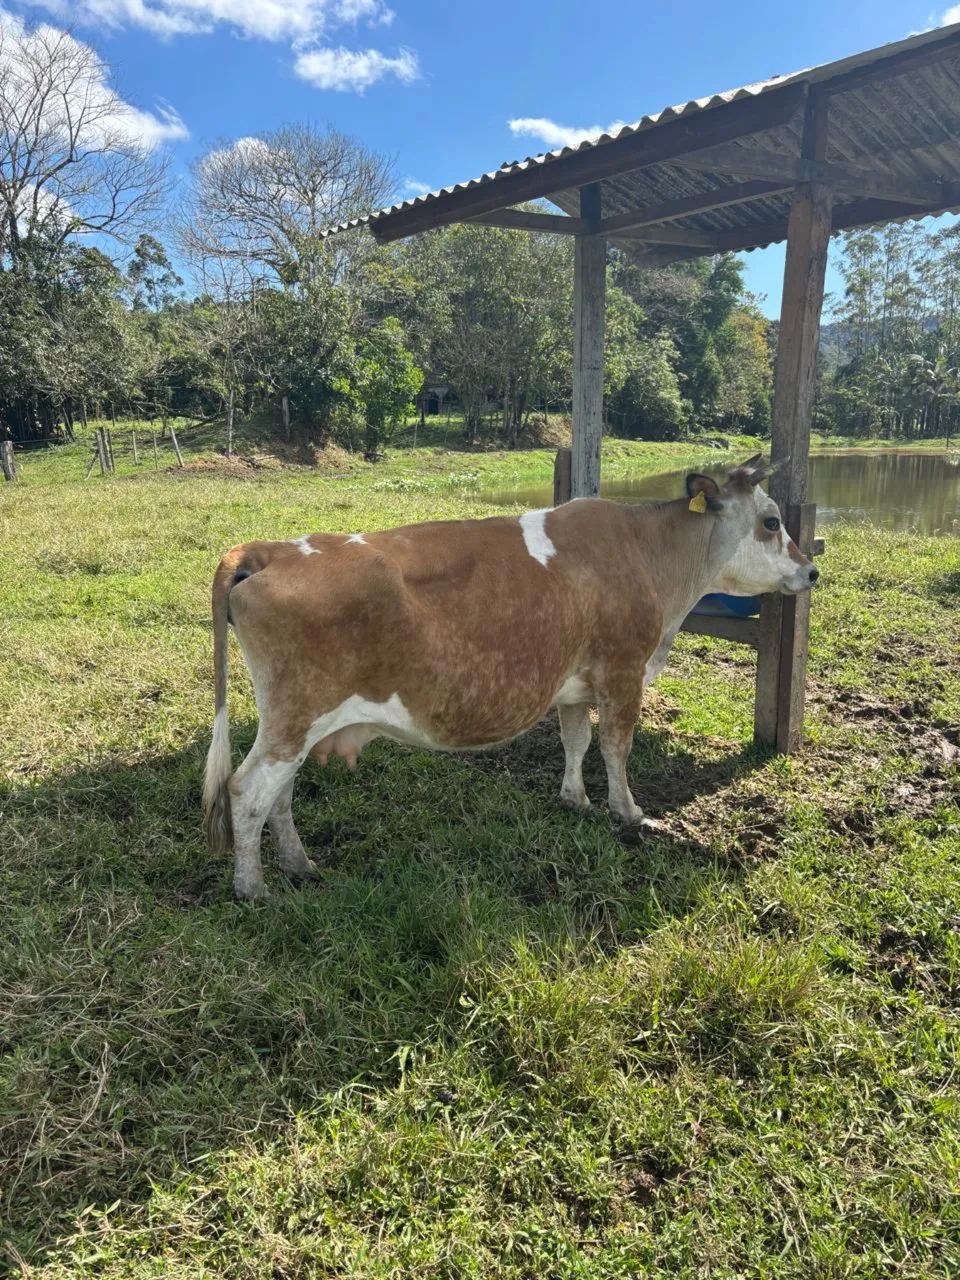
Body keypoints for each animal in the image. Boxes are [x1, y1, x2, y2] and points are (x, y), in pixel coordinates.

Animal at [203, 456, 818, 899]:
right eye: (771, 521)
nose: (812, 570)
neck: (646, 555)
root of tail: (268, 550)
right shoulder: (624, 671)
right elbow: (616, 746)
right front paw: (628, 812)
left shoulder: (575, 683)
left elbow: (577, 740)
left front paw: (574, 798)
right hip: (298, 715)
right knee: (247, 790)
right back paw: (254, 890)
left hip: (295, 724)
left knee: (278, 794)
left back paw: (299, 865)